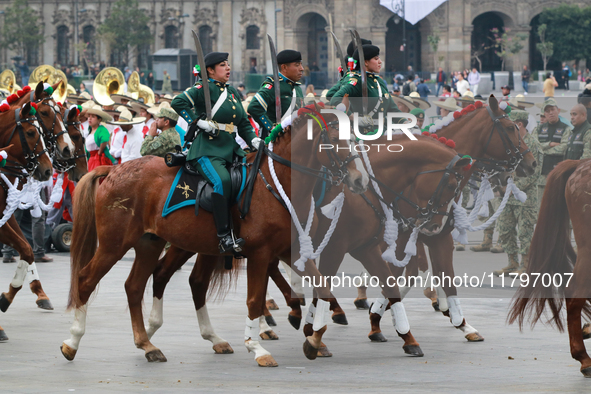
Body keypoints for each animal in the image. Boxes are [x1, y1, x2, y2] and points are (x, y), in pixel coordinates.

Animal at [60, 107, 366, 366]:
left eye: (353, 139)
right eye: (333, 141)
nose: (360, 180)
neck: (276, 183)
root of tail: (114, 168)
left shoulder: (289, 251)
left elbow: (323, 290)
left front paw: (313, 340)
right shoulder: (260, 253)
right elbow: (255, 300)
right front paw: (257, 347)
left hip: (151, 243)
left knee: (136, 286)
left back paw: (148, 344)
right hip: (115, 244)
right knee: (86, 280)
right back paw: (72, 342)